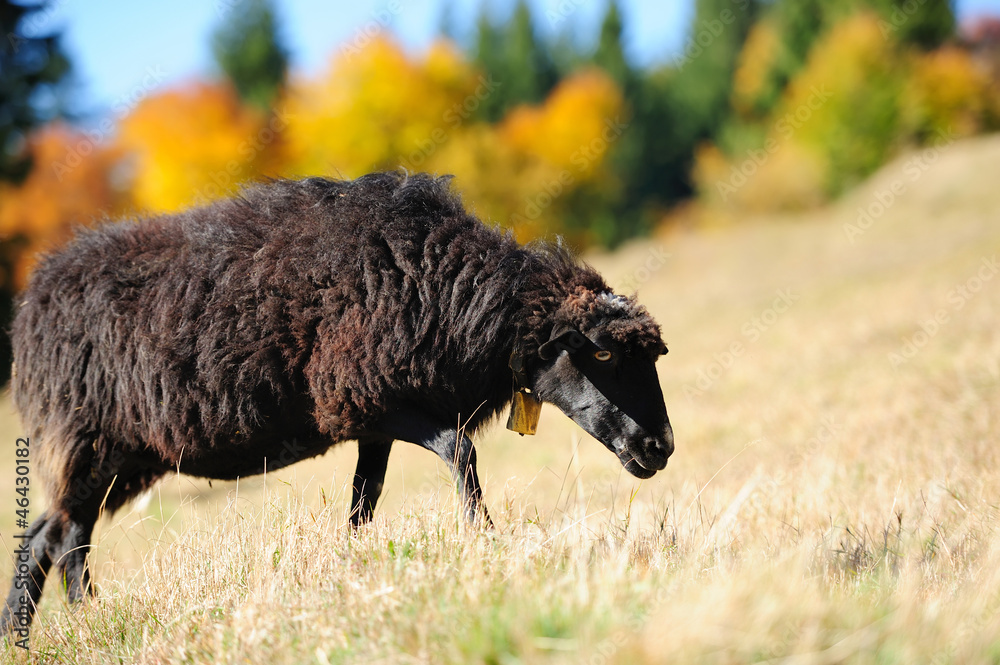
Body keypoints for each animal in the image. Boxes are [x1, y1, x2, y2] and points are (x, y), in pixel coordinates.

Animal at [1, 171, 672, 632]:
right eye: (602, 356)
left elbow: (364, 501)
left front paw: (348, 565)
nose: (658, 447)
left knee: (48, 536)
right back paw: (74, 619)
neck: (457, 297)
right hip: (88, 441)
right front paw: (483, 539)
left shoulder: (373, 423)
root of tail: (33, 302)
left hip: (121, 456)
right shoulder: (367, 398)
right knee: (64, 539)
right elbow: (458, 452)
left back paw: (35, 631)